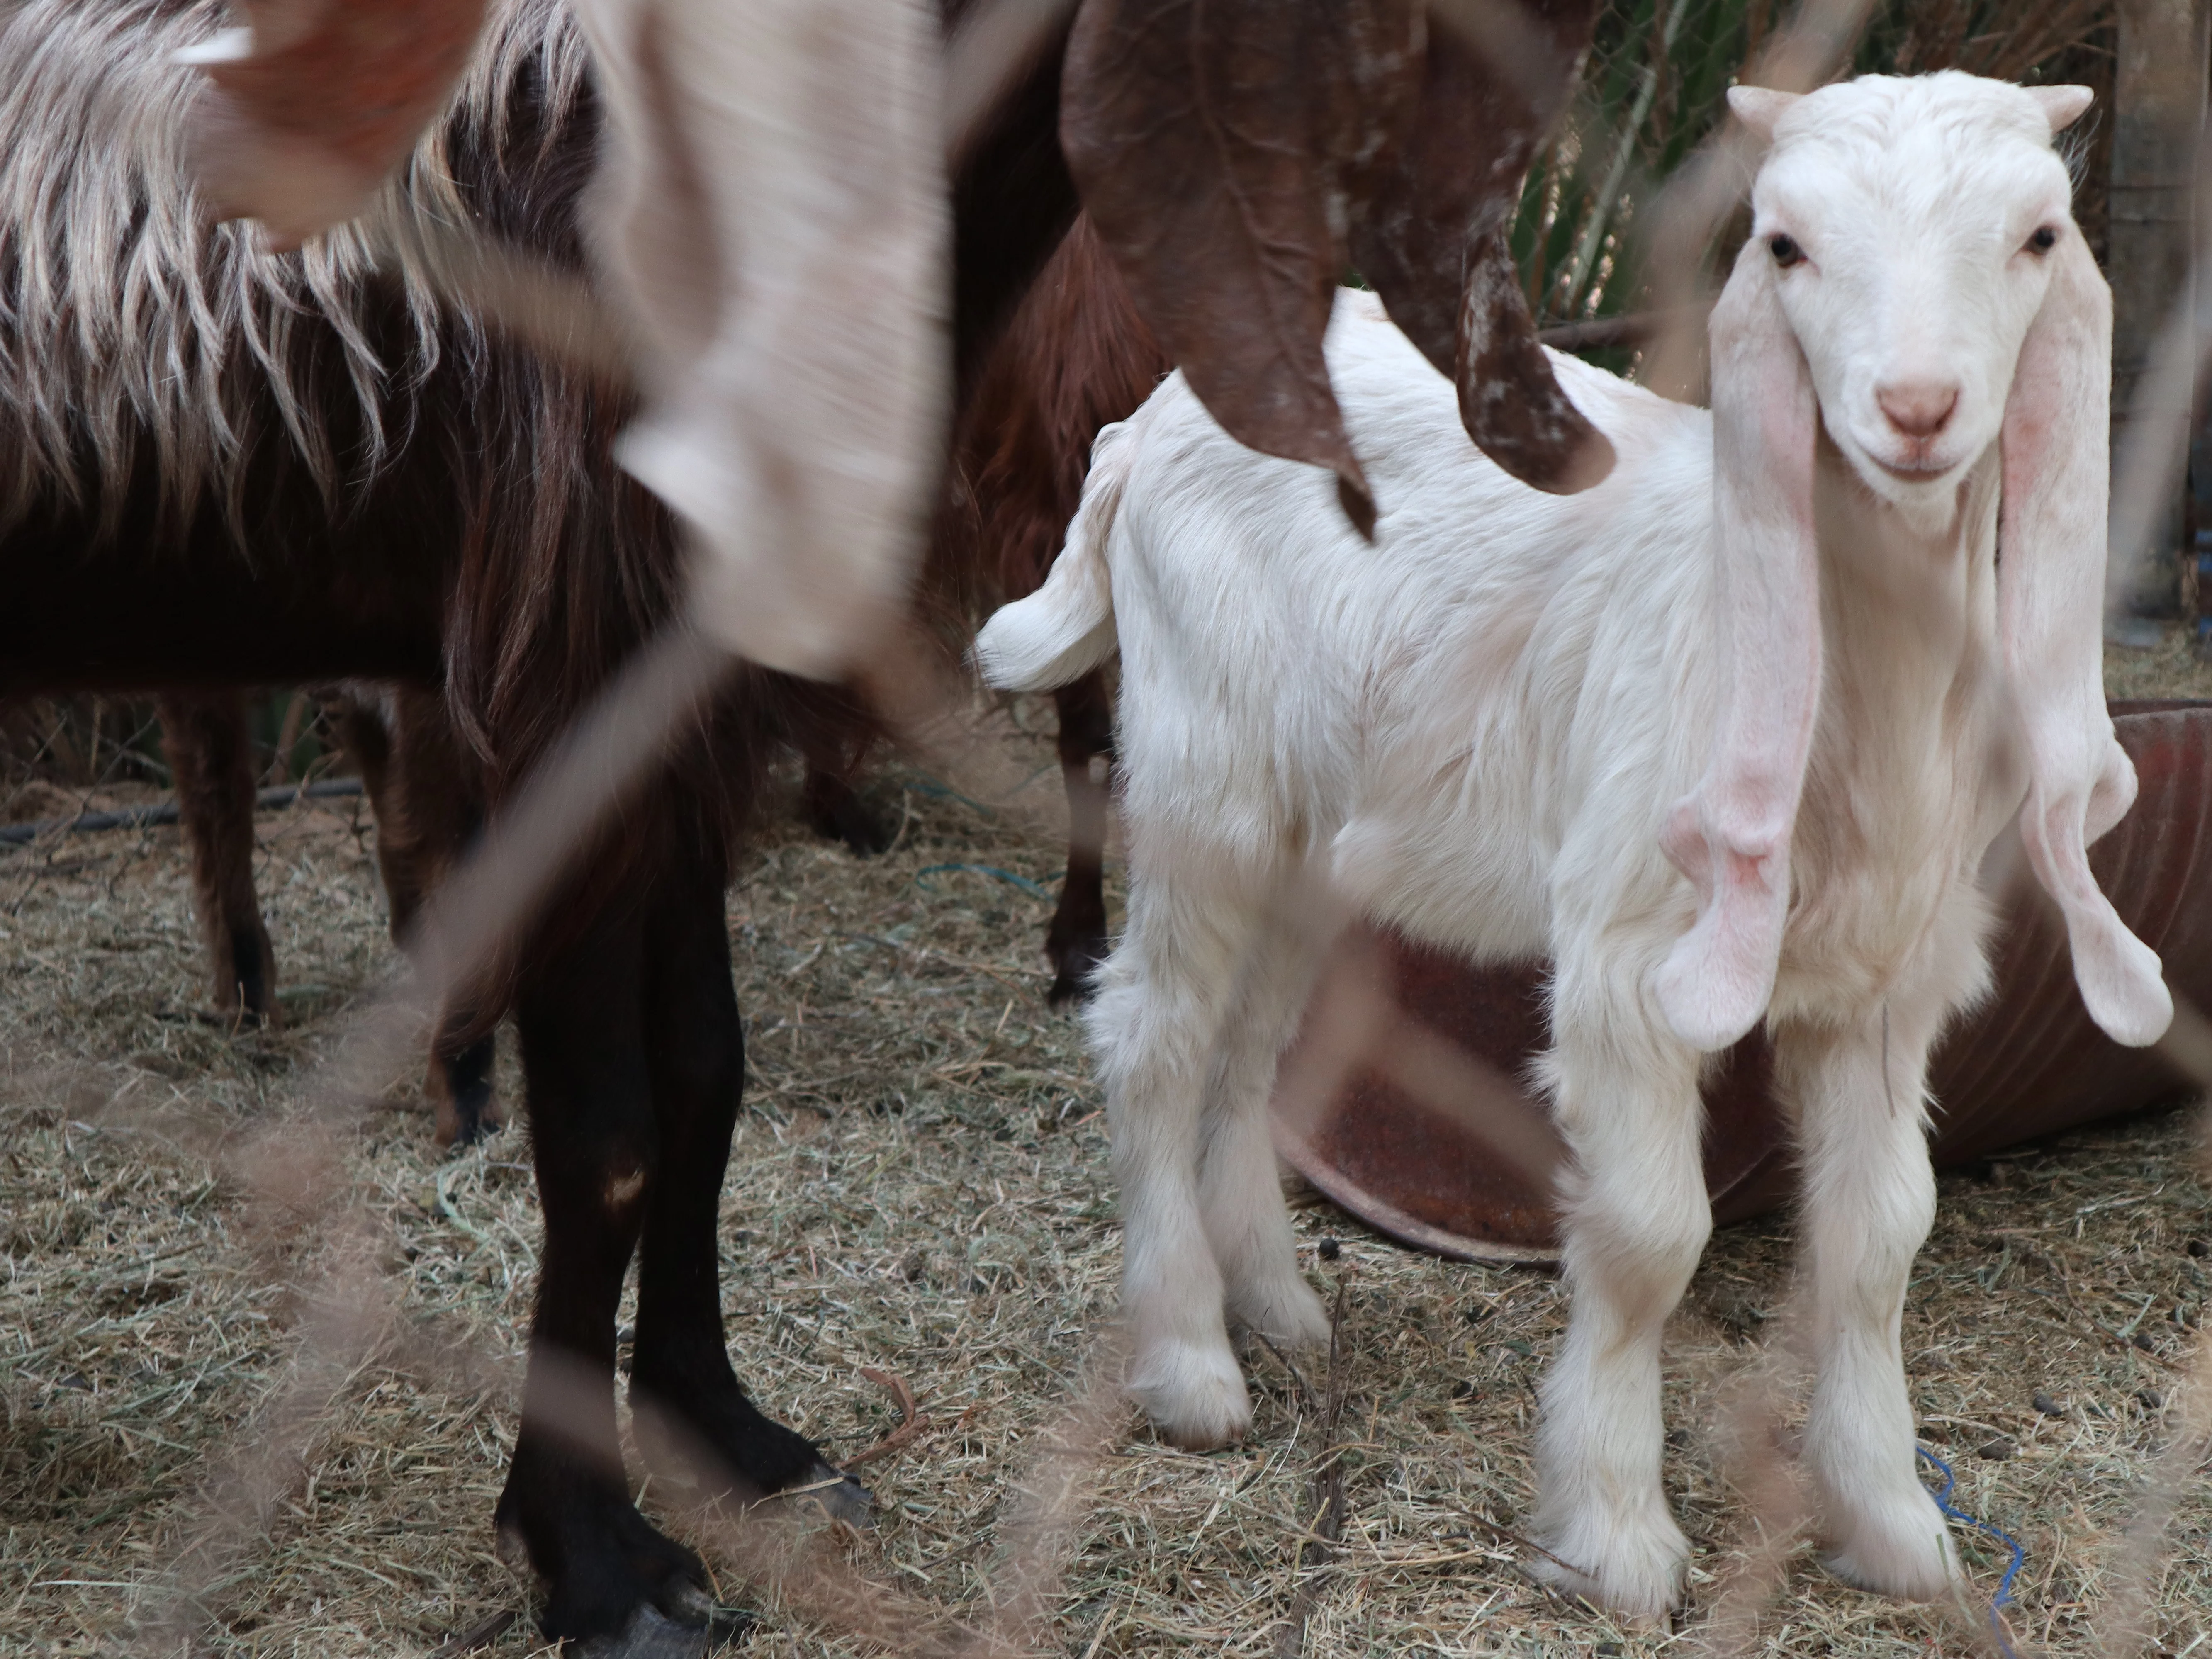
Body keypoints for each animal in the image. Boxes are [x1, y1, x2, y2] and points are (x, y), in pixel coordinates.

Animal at [977, 71, 2170, 1619]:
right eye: (1782, 245)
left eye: (2036, 237)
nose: (1915, 410)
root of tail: (1141, 425)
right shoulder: (1628, 961)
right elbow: (1651, 1238)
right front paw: (1613, 1535)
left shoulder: (1884, 984)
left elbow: (1876, 1244)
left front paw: (1893, 1524)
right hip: (1206, 774)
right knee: (1154, 1036)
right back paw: (1190, 1366)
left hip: (1317, 833)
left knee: (1247, 1048)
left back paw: (1281, 1311)